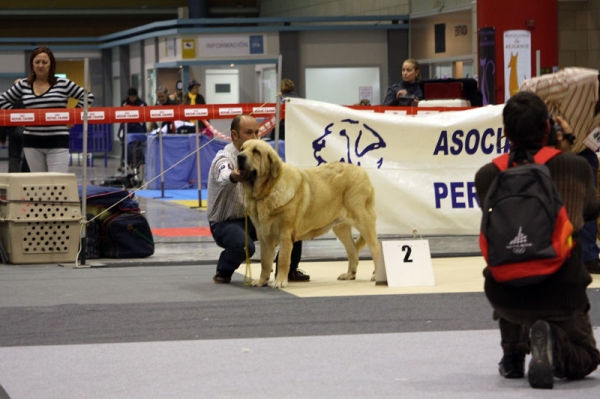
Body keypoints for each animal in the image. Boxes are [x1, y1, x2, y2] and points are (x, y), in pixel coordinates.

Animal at [237, 140, 378, 288]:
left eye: (256, 151)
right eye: (242, 149)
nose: (239, 157)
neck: (266, 192)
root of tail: (362, 171)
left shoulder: (285, 234)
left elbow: (282, 260)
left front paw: (280, 281)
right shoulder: (264, 235)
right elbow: (265, 261)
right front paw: (261, 281)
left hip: (363, 221)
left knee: (376, 249)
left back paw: (377, 275)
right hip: (341, 228)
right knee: (352, 249)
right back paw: (350, 274)